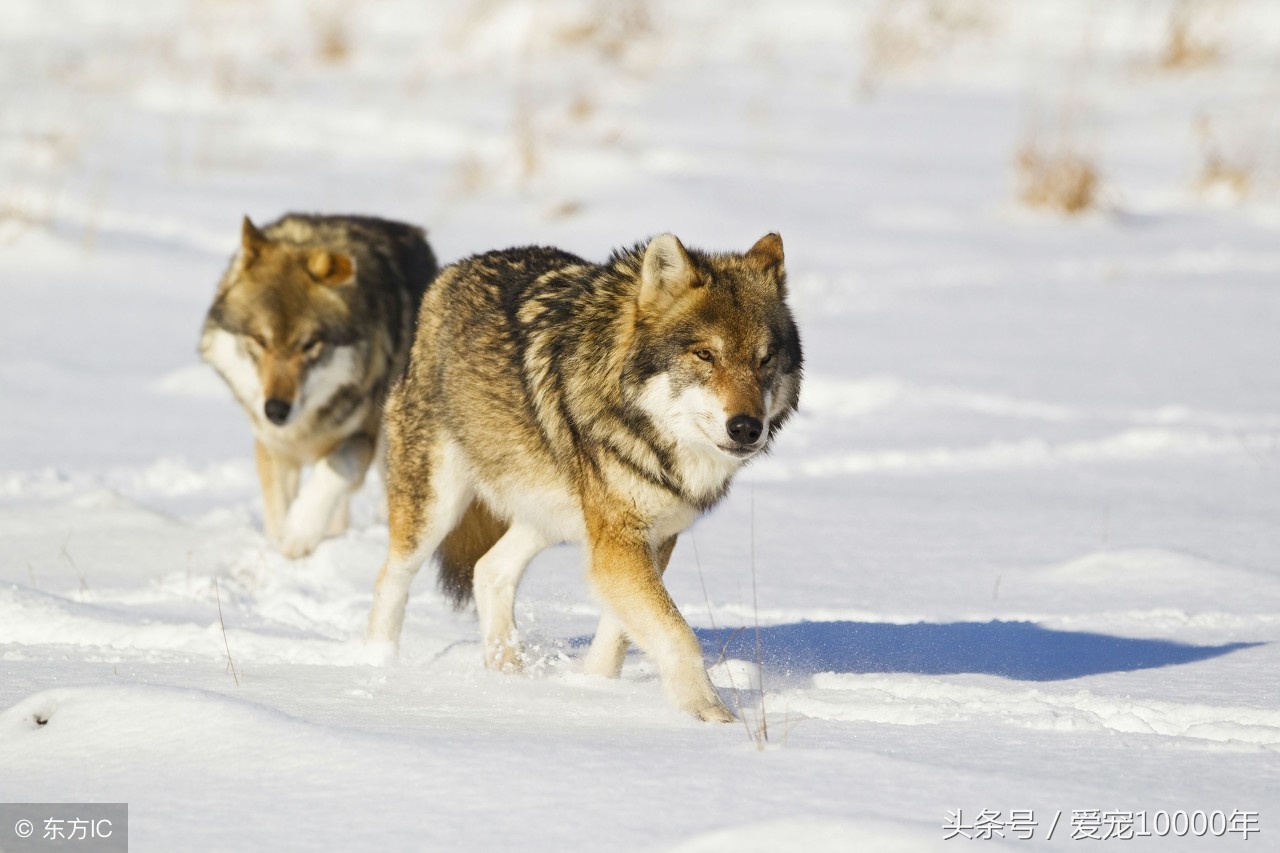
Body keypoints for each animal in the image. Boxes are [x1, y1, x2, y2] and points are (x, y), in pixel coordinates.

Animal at [199, 212, 435, 558]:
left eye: (310, 344)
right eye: (260, 339)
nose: (275, 410)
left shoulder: (360, 438)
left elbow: (335, 469)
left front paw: (299, 533)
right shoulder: (273, 448)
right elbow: (277, 511)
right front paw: (280, 546)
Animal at [366, 230, 798, 717]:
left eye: (765, 359)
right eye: (706, 354)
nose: (746, 428)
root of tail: (450, 275)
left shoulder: (650, 538)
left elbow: (617, 635)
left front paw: (595, 691)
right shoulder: (619, 541)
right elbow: (677, 634)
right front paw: (711, 715)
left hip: (553, 516)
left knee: (488, 569)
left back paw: (507, 674)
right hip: (435, 510)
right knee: (391, 580)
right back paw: (379, 666)